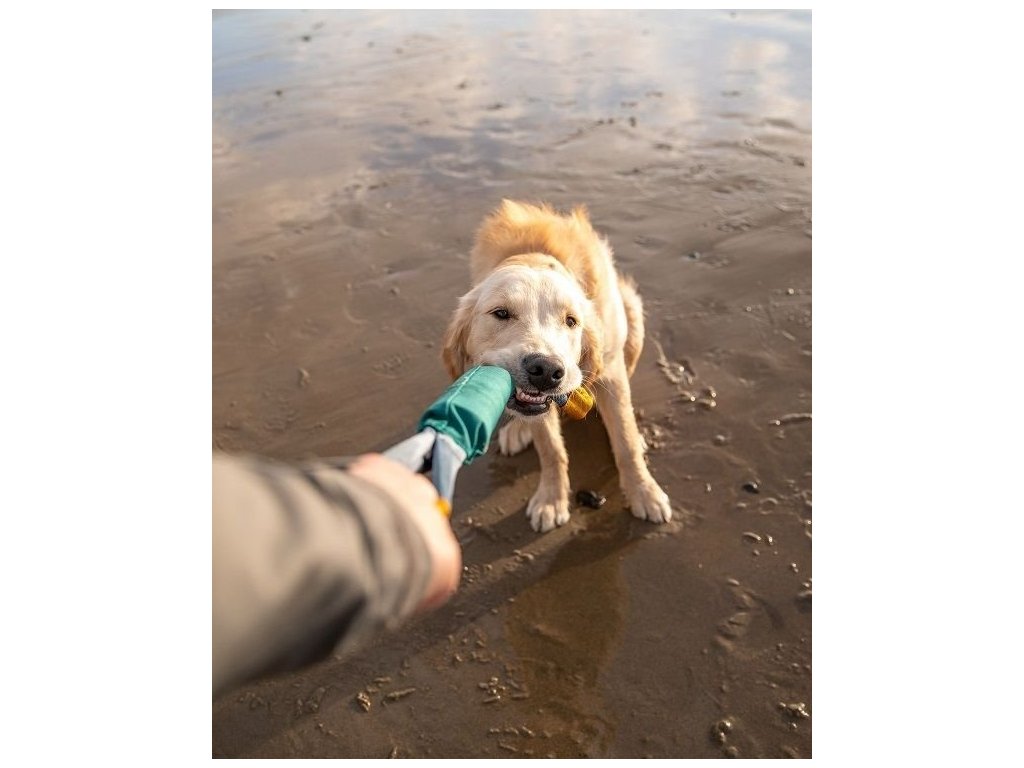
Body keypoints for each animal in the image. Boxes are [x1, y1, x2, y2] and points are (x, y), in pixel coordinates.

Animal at [442, 200, 672, 532]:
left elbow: (625, 440)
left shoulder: (612, 373)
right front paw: (552, 499)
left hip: (631, 309)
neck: (535, 255)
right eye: (501, 313)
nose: (546, 370)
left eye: (571, 321)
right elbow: (551, 450)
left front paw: (644, 492)